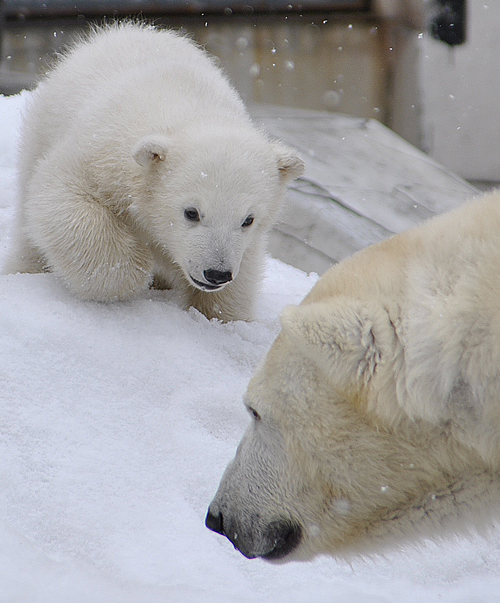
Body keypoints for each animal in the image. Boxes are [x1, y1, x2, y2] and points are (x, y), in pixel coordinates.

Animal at [3, 23, 302, 320]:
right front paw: (131, 271)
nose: (217, 273)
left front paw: (220, 315)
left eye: (248, 219)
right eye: (191, 212)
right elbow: (61, 195)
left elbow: (241, 277)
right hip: (42, 129)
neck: (191, 111)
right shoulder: (103, 154)